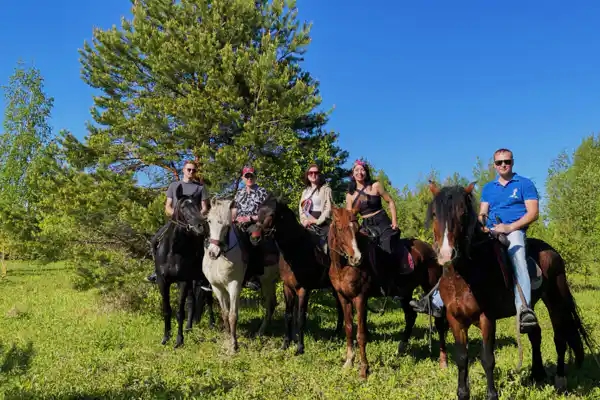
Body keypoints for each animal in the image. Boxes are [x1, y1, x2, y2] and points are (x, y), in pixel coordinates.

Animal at [154, 185, 213, 348]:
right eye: (182, 207)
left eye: (197, 206)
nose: (201, 226)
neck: (173, 251)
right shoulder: (162, 281)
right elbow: (167, 309)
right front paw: (166, 337)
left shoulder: (182, 281)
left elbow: (180, 311)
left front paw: (179, 340)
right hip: (193, 281)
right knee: (193, 301)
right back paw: (189, 327)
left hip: (203, 280)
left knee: (209, 300)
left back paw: (211, 324)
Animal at [203, 197, 280, 354]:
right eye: (209, 221)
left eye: (227, 226)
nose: (213, 252)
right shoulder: (217, 287)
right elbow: (225, 314)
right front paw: (227, 337)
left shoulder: (234, 285)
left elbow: (233, 315)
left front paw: (234, 345)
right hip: (270, 282)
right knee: (272, 304)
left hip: (269, 282)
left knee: (270, 305)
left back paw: (260, 332)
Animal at [253, 195, 344, 355]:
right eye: (258, 213)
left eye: (272, 214)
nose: (255, 238)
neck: (296, 249)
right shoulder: (288, 288)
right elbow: (289, 315)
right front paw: (285, 344)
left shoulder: (304, 289)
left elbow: (301, 317)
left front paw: (300, 348)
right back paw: (337, 333)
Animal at [328, 206, 446, 379]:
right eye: (340, 228)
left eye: (356, 229)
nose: (357, 258)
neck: (343, 266)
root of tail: (430, 249)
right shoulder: (344, 298)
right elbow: (349, 329)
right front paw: (348, 363)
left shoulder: (360, 298)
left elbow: (361, 334)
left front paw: (364, 370)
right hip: (406, 292)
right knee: (410, 316)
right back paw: (402, 348)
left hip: (429, 286)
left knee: (438, 321)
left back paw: (443, 362)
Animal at [426, 181, 598, 400]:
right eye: (434, 214)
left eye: (463, 213)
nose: (447, 254)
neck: (463, 277)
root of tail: (553, 251)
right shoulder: (455, 319)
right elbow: (462, 358)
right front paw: (463, 393)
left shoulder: (486, 318)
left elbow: (487, 358)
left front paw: (492, 394)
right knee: (535, 334)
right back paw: (537, 374)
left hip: (555, 300)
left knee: (559, 337)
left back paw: (560, 380)